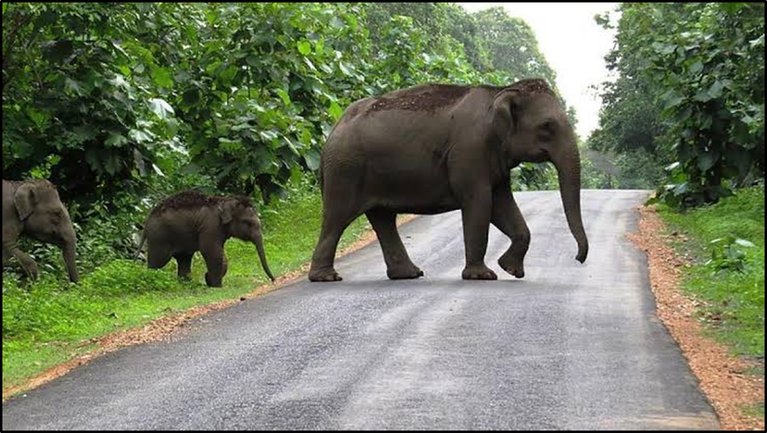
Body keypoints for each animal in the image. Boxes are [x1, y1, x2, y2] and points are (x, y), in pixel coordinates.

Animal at [135, 190, 275, 287]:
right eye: (248, 223)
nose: (274, 280)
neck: (224, 200)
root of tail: (147, 220)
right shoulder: (210, 226)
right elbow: (211, 251)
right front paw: (216, 285)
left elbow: (220, 254)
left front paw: (210, 280)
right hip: (159, 237)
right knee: (158, 261)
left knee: (184, 259)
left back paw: (187, 284)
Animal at [308, 78, 588, 282]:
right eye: (547, 126)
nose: (578, 259)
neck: (502, 90)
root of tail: (333, 128)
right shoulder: (469, 151)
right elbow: (479, 202)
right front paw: (482, 275)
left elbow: (502, 205)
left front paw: (511, 270)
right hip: (345, 169)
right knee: (337, 218)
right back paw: (327, 278)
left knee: (382, 219)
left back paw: (409, 274)